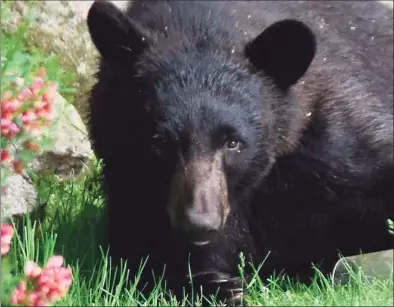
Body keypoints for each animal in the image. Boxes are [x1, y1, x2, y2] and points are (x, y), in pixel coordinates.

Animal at [87, 0, 394, 304]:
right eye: (160, 142)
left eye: (232, 142)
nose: (198, 224)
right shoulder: (129, 179)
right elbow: (137, 254)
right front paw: (217, 285)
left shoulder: (334, 141)